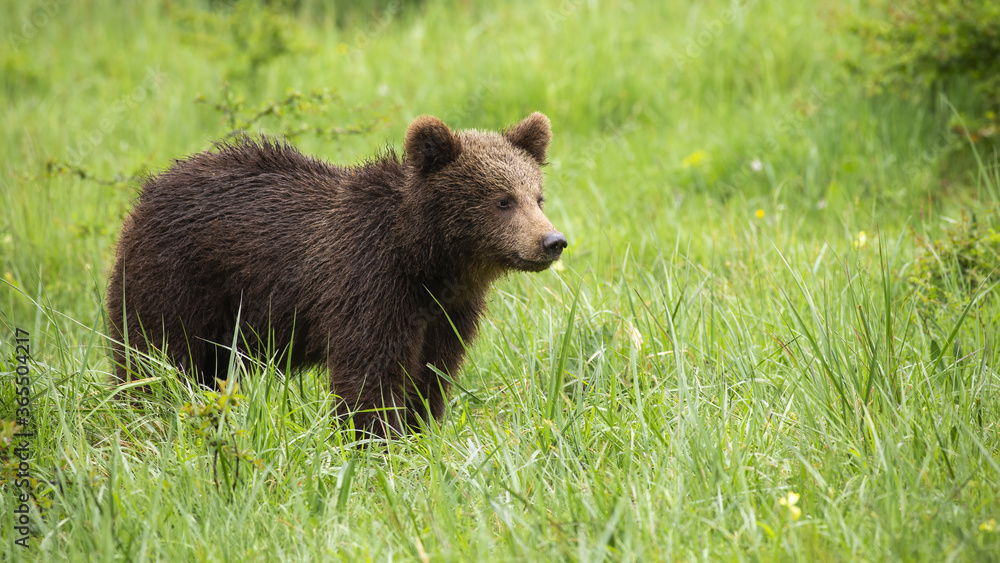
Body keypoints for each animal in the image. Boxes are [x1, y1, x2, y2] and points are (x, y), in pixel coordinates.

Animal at [108, 113, 568, 440]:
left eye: (538, 196)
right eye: (502, 200)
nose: (553, 241)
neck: (426, 260)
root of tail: (147, 194)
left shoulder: (446, 310)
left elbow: (432, 373)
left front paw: (421, 431)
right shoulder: (368, 281)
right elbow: (370, 374)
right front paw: (377, 442)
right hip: (175, 278)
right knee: (154, 356)